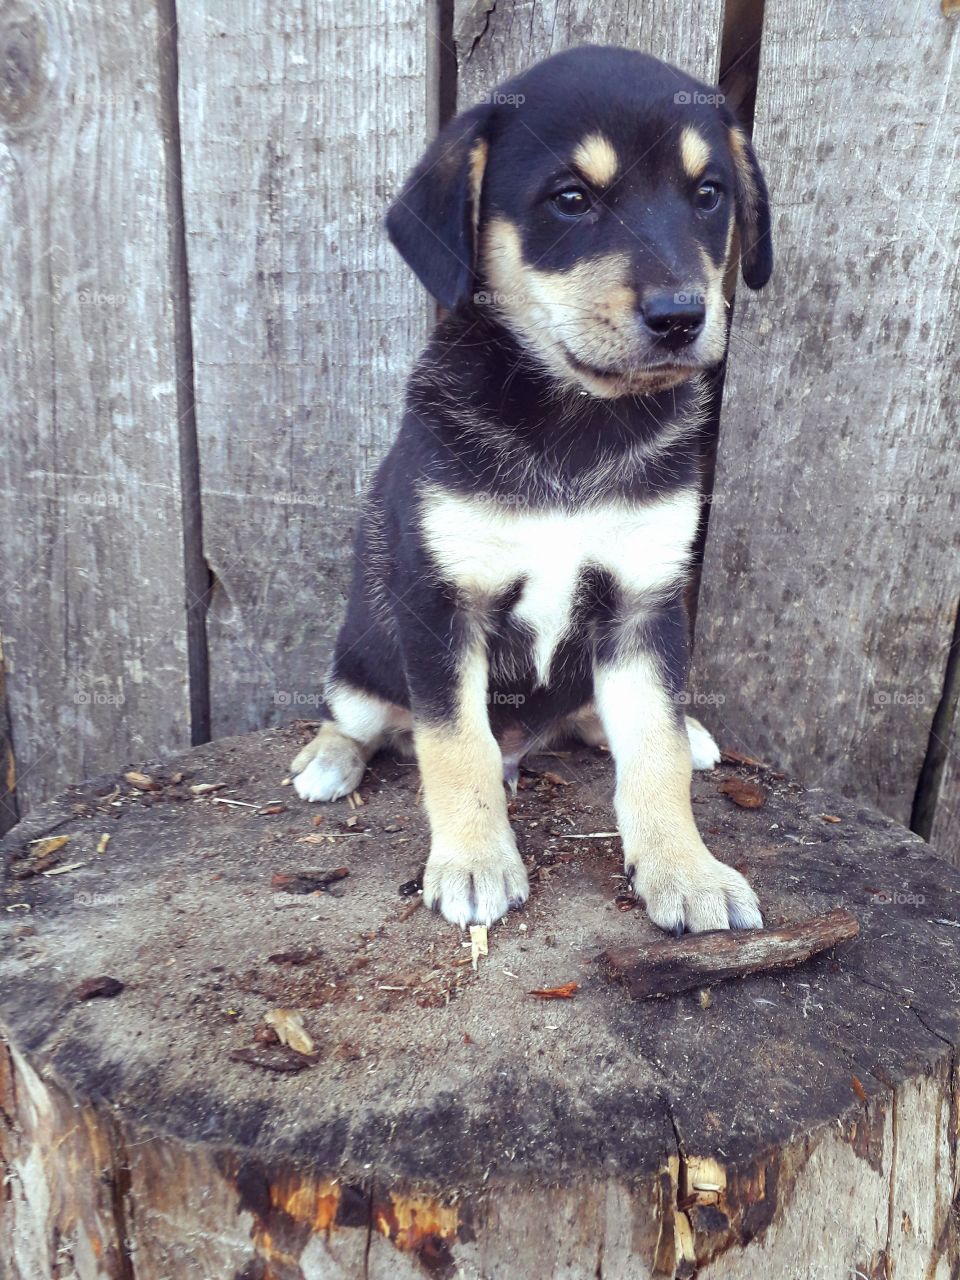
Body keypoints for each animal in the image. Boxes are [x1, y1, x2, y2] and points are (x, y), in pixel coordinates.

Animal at [293, 45, 773, 936]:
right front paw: (475, 863)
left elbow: (653, 752)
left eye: (708, 194)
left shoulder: (644, 603)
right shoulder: (442, 606)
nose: (681, 316)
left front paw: (687, 870)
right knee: (363, 720)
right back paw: (329, 759)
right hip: (363, 663)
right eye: (571, 199)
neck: (575, 426)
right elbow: (457, 747)